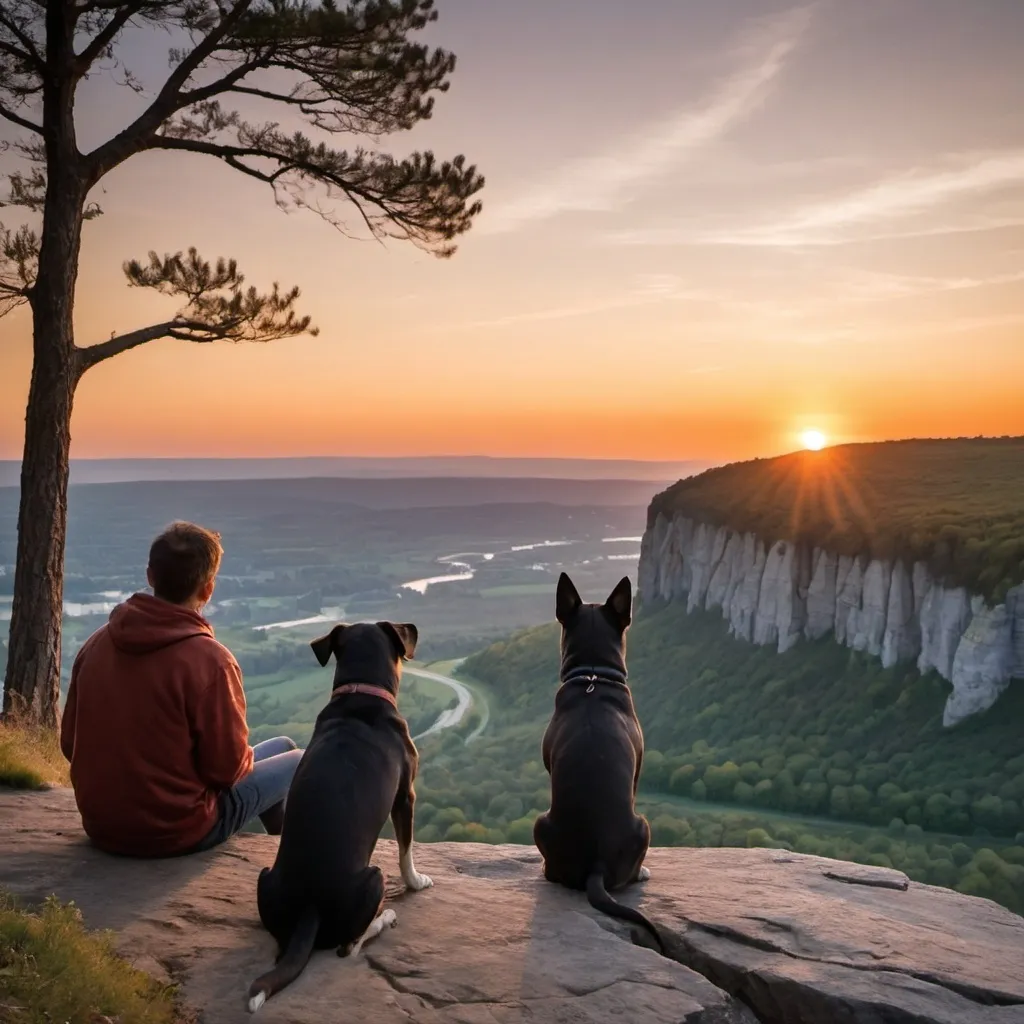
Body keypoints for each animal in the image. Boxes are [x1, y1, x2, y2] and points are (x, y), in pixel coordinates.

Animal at [246, 618, 432, 1011]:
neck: (360, 693)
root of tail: (310, 908)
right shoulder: (405, 796)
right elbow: (406, 851)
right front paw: (417, 881)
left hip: (265, 877)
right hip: (374, 877)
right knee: (350, 946)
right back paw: (385, 917)